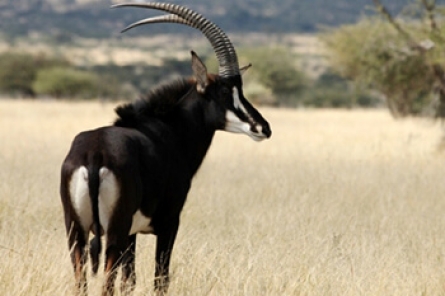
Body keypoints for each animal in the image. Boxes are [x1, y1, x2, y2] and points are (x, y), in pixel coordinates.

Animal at [59, 1, 270, 294]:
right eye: (224, 93)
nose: (262, 127)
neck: (167, 130)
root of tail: (94, 155)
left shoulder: (133, 234)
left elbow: (130, 280)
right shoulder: (169, 223)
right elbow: (161, 279)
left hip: (76, 233)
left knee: (83, 279)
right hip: (114, 231)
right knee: (108, 282)